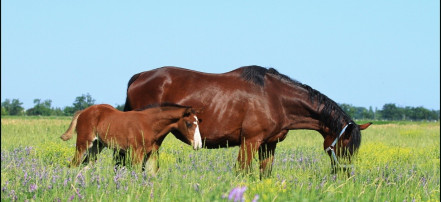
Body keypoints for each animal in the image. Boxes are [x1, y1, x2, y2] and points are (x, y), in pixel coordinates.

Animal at [60, 103, 201, 173]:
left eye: (198, 122)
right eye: (189, 124)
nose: (198, 144)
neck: (150, 125)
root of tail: (83, 111)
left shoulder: (152, 153)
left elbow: (152, 173)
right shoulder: (136, 153)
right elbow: (136, 173)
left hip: (96, 146)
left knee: (85, 165)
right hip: (83, 144)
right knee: (73, 165)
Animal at [123, 66, 372, 177]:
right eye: (346, 146)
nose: (345, 175)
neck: (276, 97)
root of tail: (140, 76)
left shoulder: (268, 145)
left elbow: (265, 173)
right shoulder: (250, 142)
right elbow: (241, 172)